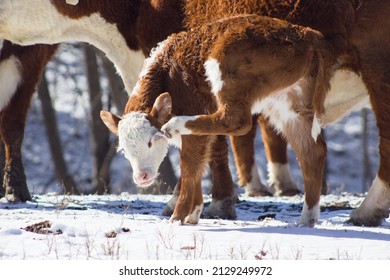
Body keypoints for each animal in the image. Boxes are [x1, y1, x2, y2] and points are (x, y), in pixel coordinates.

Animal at [101, 14, 336, 225]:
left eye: (152, 141)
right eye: (124, 150)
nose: (141, 177)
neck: (166, 73)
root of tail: (307, 34)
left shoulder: (193, 112)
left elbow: (189, 167)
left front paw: (177, 218)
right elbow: (198, 164)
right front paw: (193, 214)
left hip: (226, 66)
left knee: (237, 121)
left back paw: (175, 125)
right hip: (289, 104)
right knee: (311, 152)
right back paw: (307, 218)